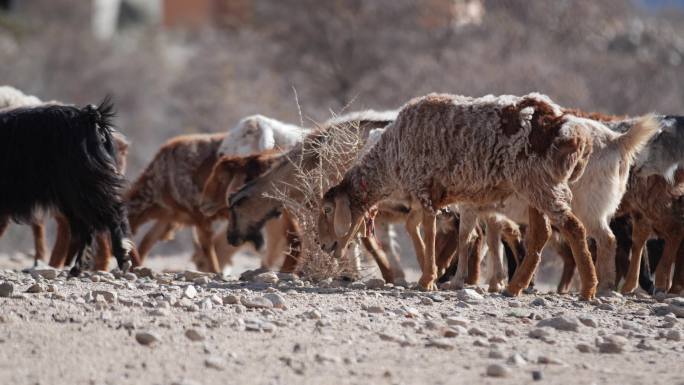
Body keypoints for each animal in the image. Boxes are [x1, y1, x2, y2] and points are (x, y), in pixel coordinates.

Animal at [0, 97, 135, 274]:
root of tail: (89, 117)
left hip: (82, 185)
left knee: (112, 214)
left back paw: (122, 257)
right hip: (71, 195)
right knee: (86, 226)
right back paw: (77, 268)